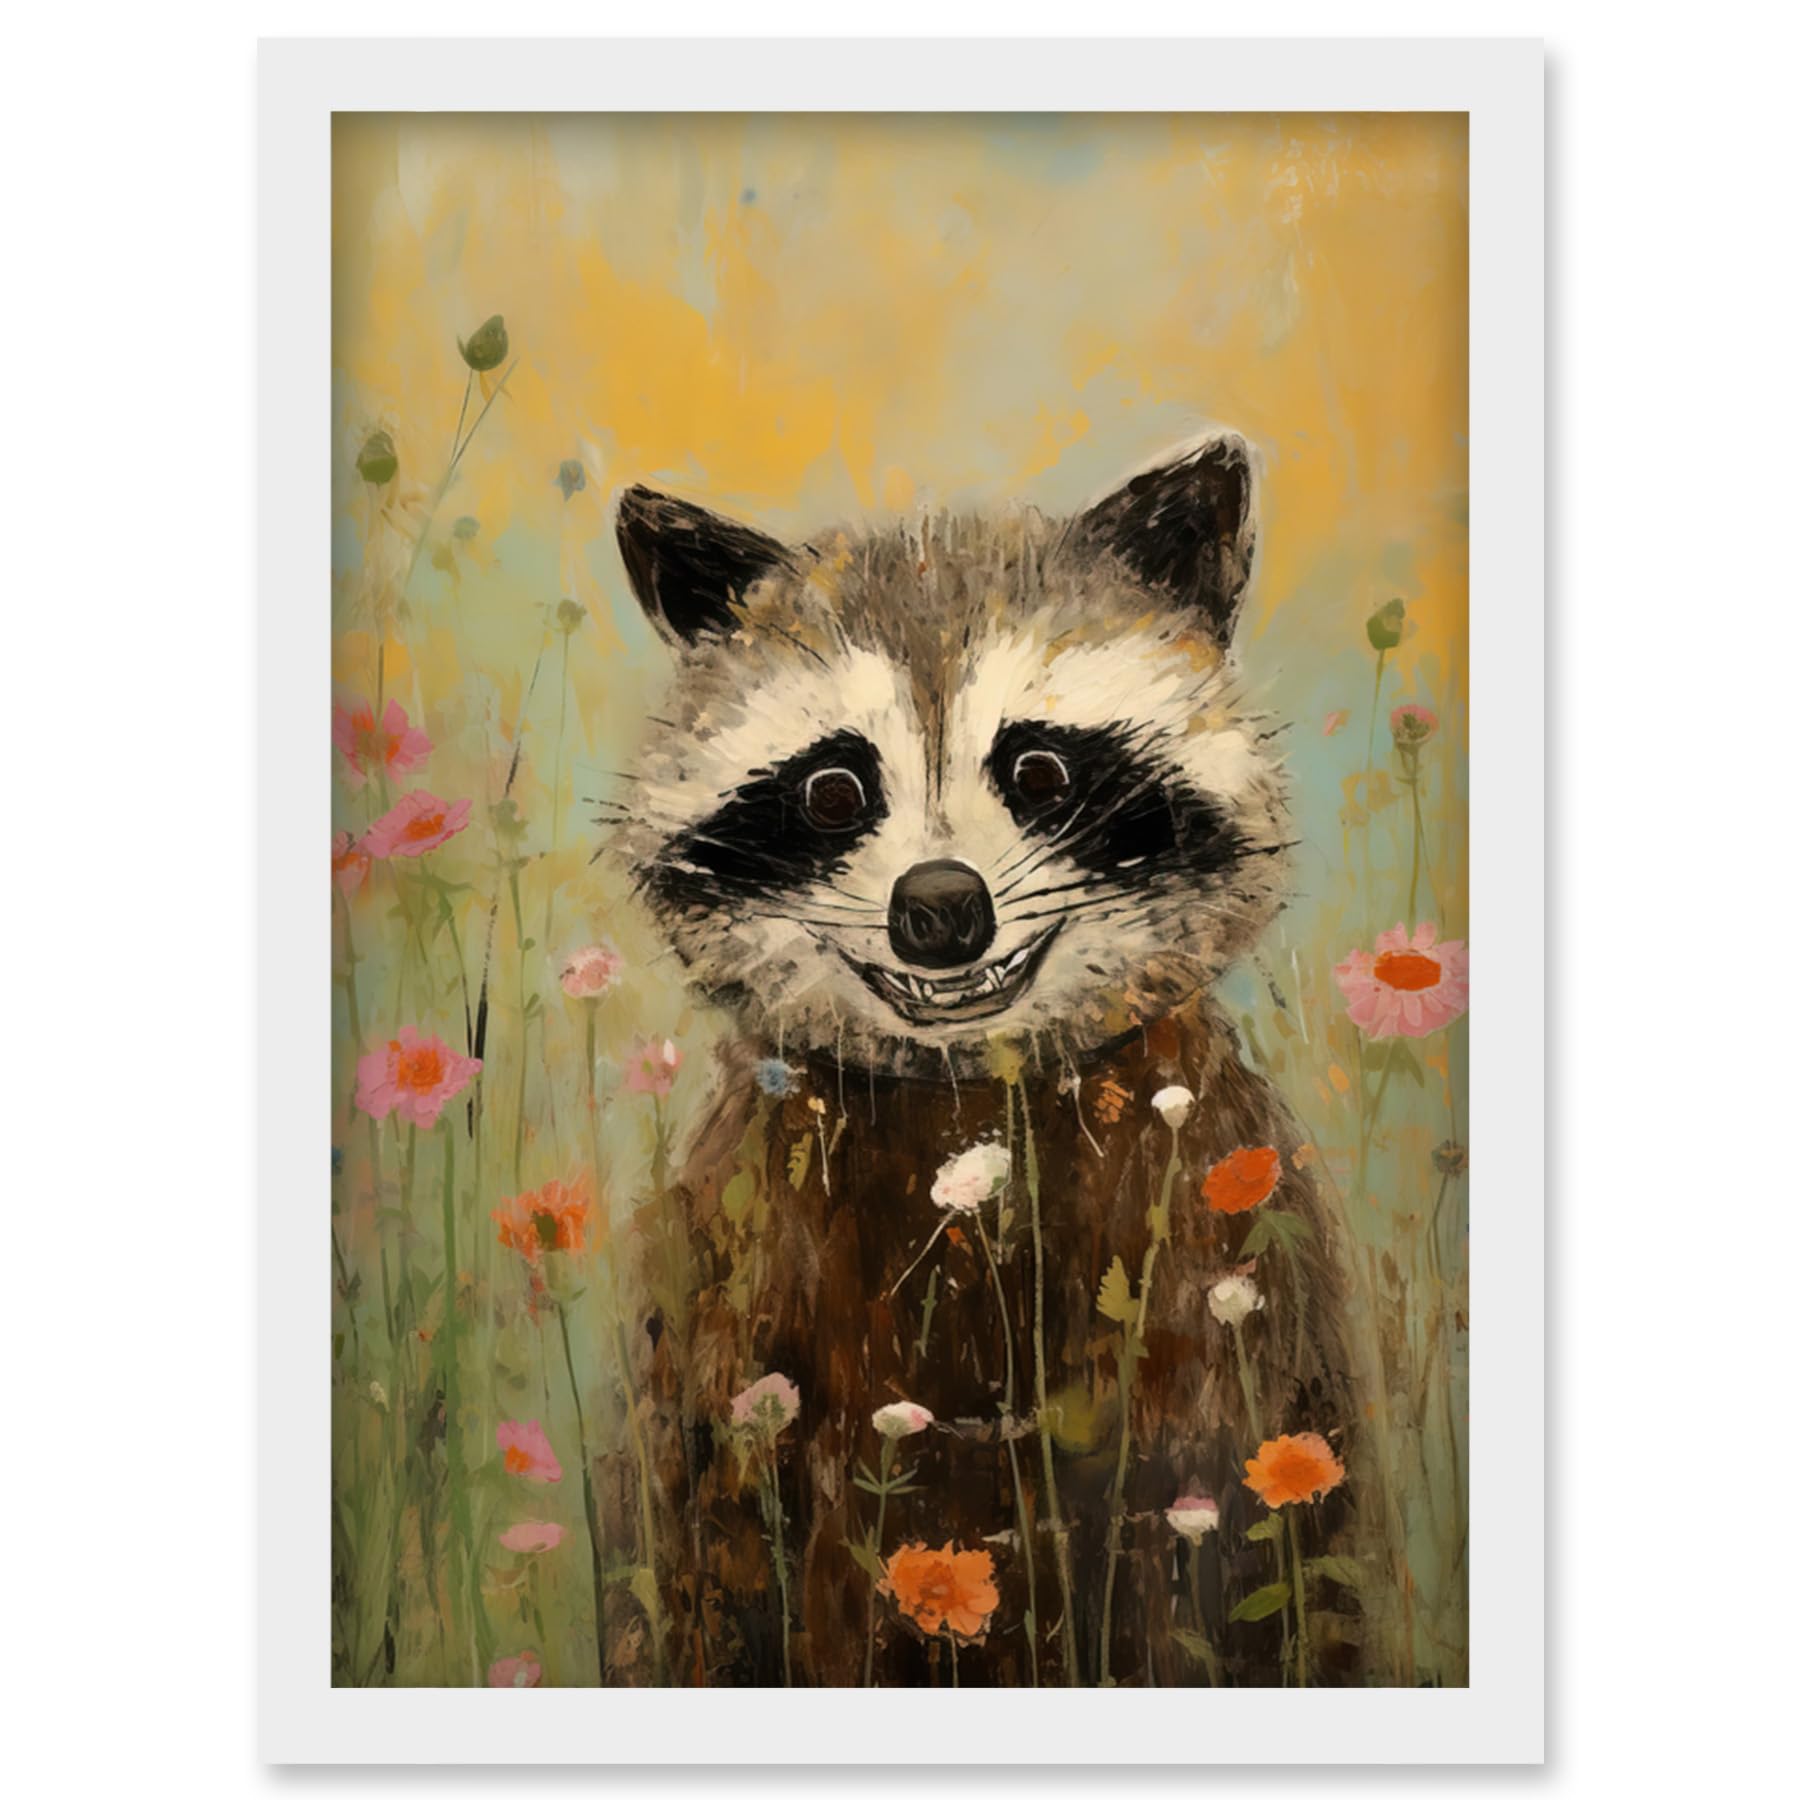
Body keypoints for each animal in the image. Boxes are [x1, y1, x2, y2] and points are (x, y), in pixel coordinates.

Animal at [607, 435, 1353, 1688]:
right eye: (832, 789)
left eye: (1042, 770)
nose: (941, 910)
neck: (965, 1099)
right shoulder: (729, 1299)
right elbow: (716, 1561)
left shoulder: (1224, 1270)